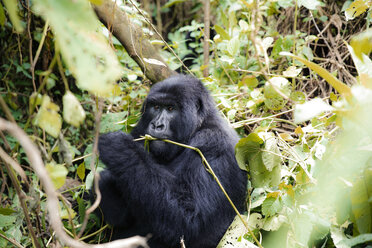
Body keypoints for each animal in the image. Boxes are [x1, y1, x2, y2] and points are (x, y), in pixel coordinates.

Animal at [98, 75, 247, 248]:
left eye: (170, 109)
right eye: (155, 107)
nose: (157, 125)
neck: (198, 126)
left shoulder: (213, 143)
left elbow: (188, 220)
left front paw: (120, 149)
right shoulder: (140, 130)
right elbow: (120, 217)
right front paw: (104, 180)